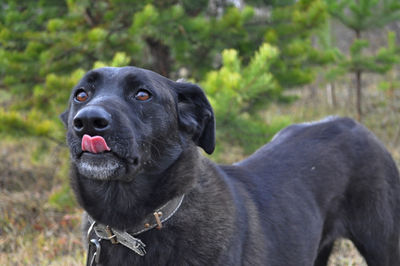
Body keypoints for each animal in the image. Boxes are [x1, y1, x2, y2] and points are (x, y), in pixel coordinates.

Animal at [60, 65, 400, 264]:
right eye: (81, 95)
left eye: (143, 94)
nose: (88, 121)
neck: (133, 226)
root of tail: (352, 123)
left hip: (384, 246)